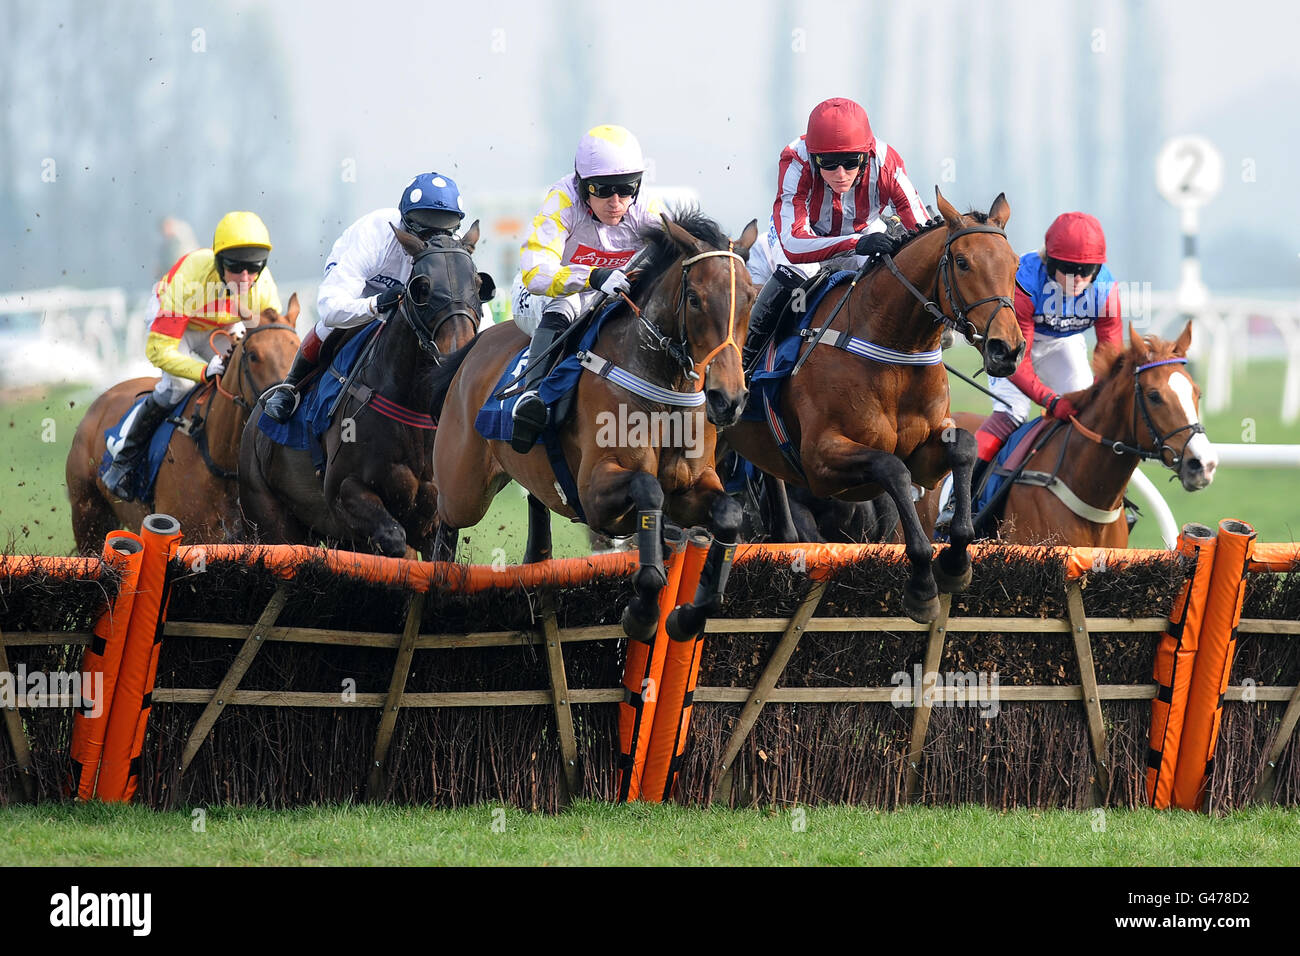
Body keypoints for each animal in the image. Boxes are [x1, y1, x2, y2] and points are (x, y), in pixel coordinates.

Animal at [67, 299, 299, 554]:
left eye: (298, 349)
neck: (218, 460)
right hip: (88, 515)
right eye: (254, 356)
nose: (284, 406)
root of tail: (101, 401)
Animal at [240, 225, 488, 561]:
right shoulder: (344, 492)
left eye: (479, 284)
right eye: (422, 288)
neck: (414, 410)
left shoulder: (435, 518)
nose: (459, 352)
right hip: (271, 520)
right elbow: (393, 539)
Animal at [428, 210, 754, 642]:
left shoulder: (690, 488)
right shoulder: (595, 492)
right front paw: (643, 611)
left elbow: (728, 514)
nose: (727, 399)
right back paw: (438, 585)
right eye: (696, 299)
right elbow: (648, 489)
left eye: (751, 297)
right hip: (463, 489)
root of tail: (473, 347)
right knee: (445, 523)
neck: (664, 389)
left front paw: (688, 616)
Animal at [722, 189, 1024, 624]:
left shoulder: (926, 452)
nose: (1007, 349)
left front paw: (954, 564)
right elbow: (891, 467)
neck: (893, 347)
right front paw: (922, 587)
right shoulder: (820, 459)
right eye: (963, 262)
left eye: (1014, 264)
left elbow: (964, 447)